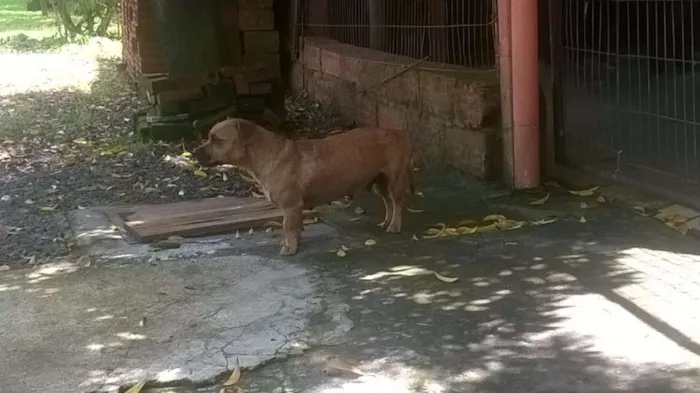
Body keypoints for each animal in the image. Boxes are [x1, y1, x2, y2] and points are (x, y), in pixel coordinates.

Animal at [194, 118, 412, 256]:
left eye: (217, 140)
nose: (194, 152)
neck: (265, 154)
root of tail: (398, 133)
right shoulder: (294, 209)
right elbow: (296, 227)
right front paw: (295, 242)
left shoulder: (290, 207)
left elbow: (288, 227)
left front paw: (290, 247)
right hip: (379, 183)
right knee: (389, 202)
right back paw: (387, 222)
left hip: (395, 180)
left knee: (398, 202)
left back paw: (395, 226)